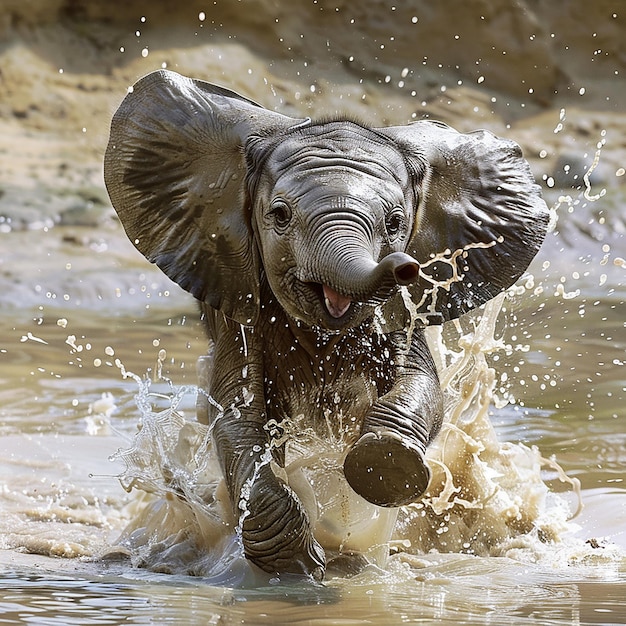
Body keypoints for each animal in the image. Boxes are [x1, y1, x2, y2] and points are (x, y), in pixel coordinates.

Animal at [105, 70, 548, 576]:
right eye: (279, 215)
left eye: (396, 223)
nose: (405, 267)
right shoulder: (239, 301)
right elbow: (237, 414)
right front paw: (298, 562)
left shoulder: (401, 312)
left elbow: (420, 382)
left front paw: (382, 467)